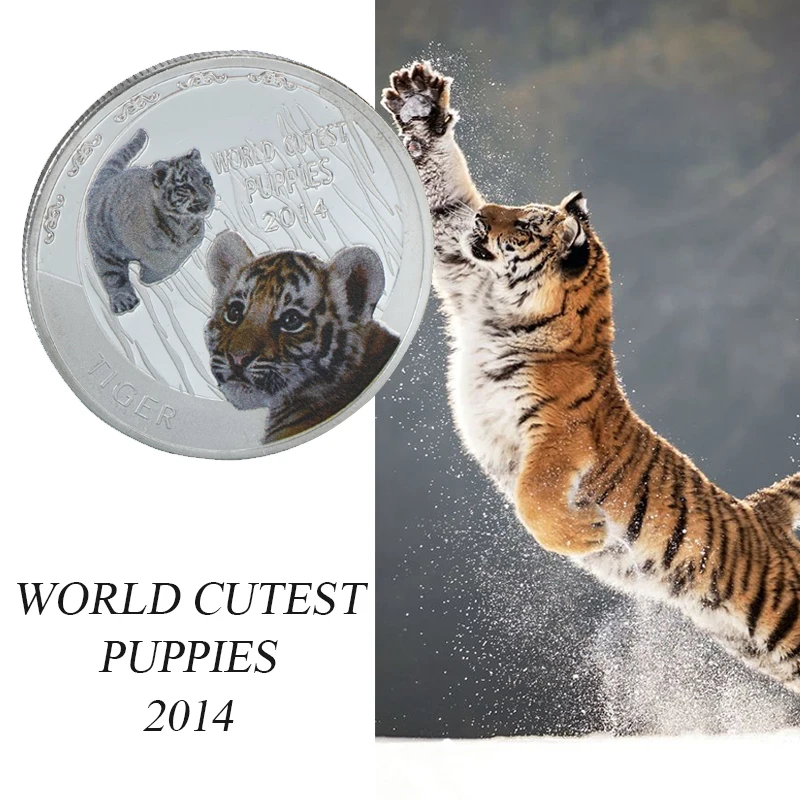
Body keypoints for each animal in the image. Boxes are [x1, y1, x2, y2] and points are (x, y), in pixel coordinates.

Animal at [382, 61, 800, 693]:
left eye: (526, 225)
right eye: (509, 212)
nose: (484, 217)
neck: (506, 312)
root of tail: (761, 516)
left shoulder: (557, 436)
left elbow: (533, 500)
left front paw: (586, 534)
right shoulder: (461, 270)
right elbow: (443, 199)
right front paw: (419, 104)